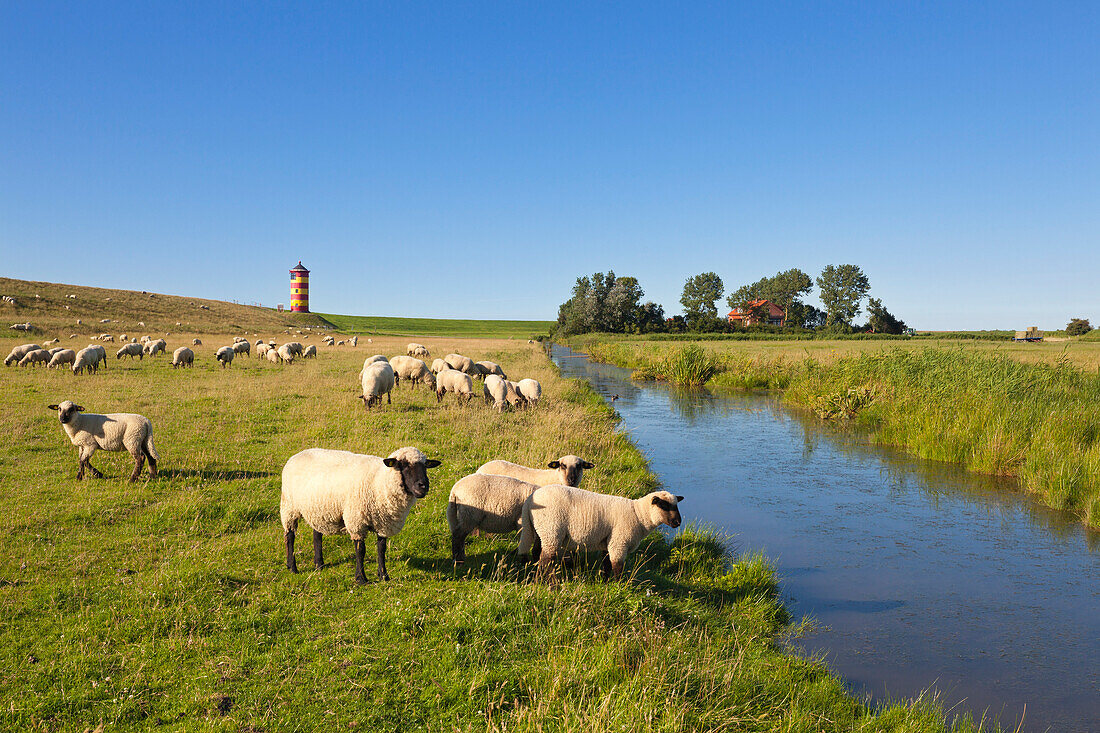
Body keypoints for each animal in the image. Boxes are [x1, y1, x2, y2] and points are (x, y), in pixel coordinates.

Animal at [279, 444, 442, 581]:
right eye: (404, 465)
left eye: (426, 466)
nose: (423, 485)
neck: (379, 482)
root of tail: (298, 454)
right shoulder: (357, 520)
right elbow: (361, 550)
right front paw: (361, 578)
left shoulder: (383, 522)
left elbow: (381, 549)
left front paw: (384, 576)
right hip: (289, 507)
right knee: (290, 536)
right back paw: (292, 567)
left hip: (318, 509)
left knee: (317, 535)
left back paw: (319, 565)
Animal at [519, 484, 682, 576]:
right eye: (664, 506)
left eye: (676, 505)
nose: (678, 522)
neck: (638, 515)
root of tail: (529, 501)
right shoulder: (619, 542)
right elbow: (617, 567)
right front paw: (619, 586)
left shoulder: (609, 542)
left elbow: (607, 564)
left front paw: (605, 581)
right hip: (551, 530)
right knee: (546, 560)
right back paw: (548, 581)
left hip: (540, 530)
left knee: (536, 552)